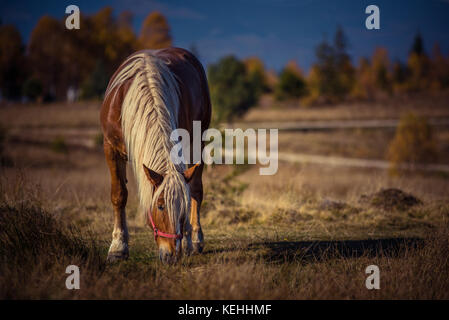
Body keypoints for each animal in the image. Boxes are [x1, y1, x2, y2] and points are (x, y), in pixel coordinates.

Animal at [101, 47, 212, 262]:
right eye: (160, 206)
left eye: (183, 208)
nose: (171, 255)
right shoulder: (110, 148)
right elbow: (119, 194)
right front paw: (118, 247)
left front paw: (187, 241)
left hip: (198, 139)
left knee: (196, 188)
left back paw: (195, 239)